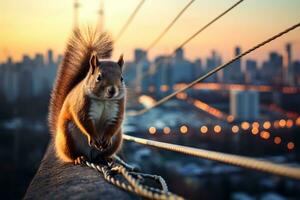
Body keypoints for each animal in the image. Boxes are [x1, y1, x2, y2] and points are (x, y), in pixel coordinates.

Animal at [49, 28, 125, 164]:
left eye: (121, 78)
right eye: (99, 77)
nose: (112, 90)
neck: (104, 100)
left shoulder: (118, 106)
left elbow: (115, 123)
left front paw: (107, 138)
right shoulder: (82, 105)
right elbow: (84, 121)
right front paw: (93, 137)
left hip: (117, 139)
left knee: (104, 152)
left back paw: (104, 157)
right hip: (68, 137)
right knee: (71, 154)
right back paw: (79, 158)